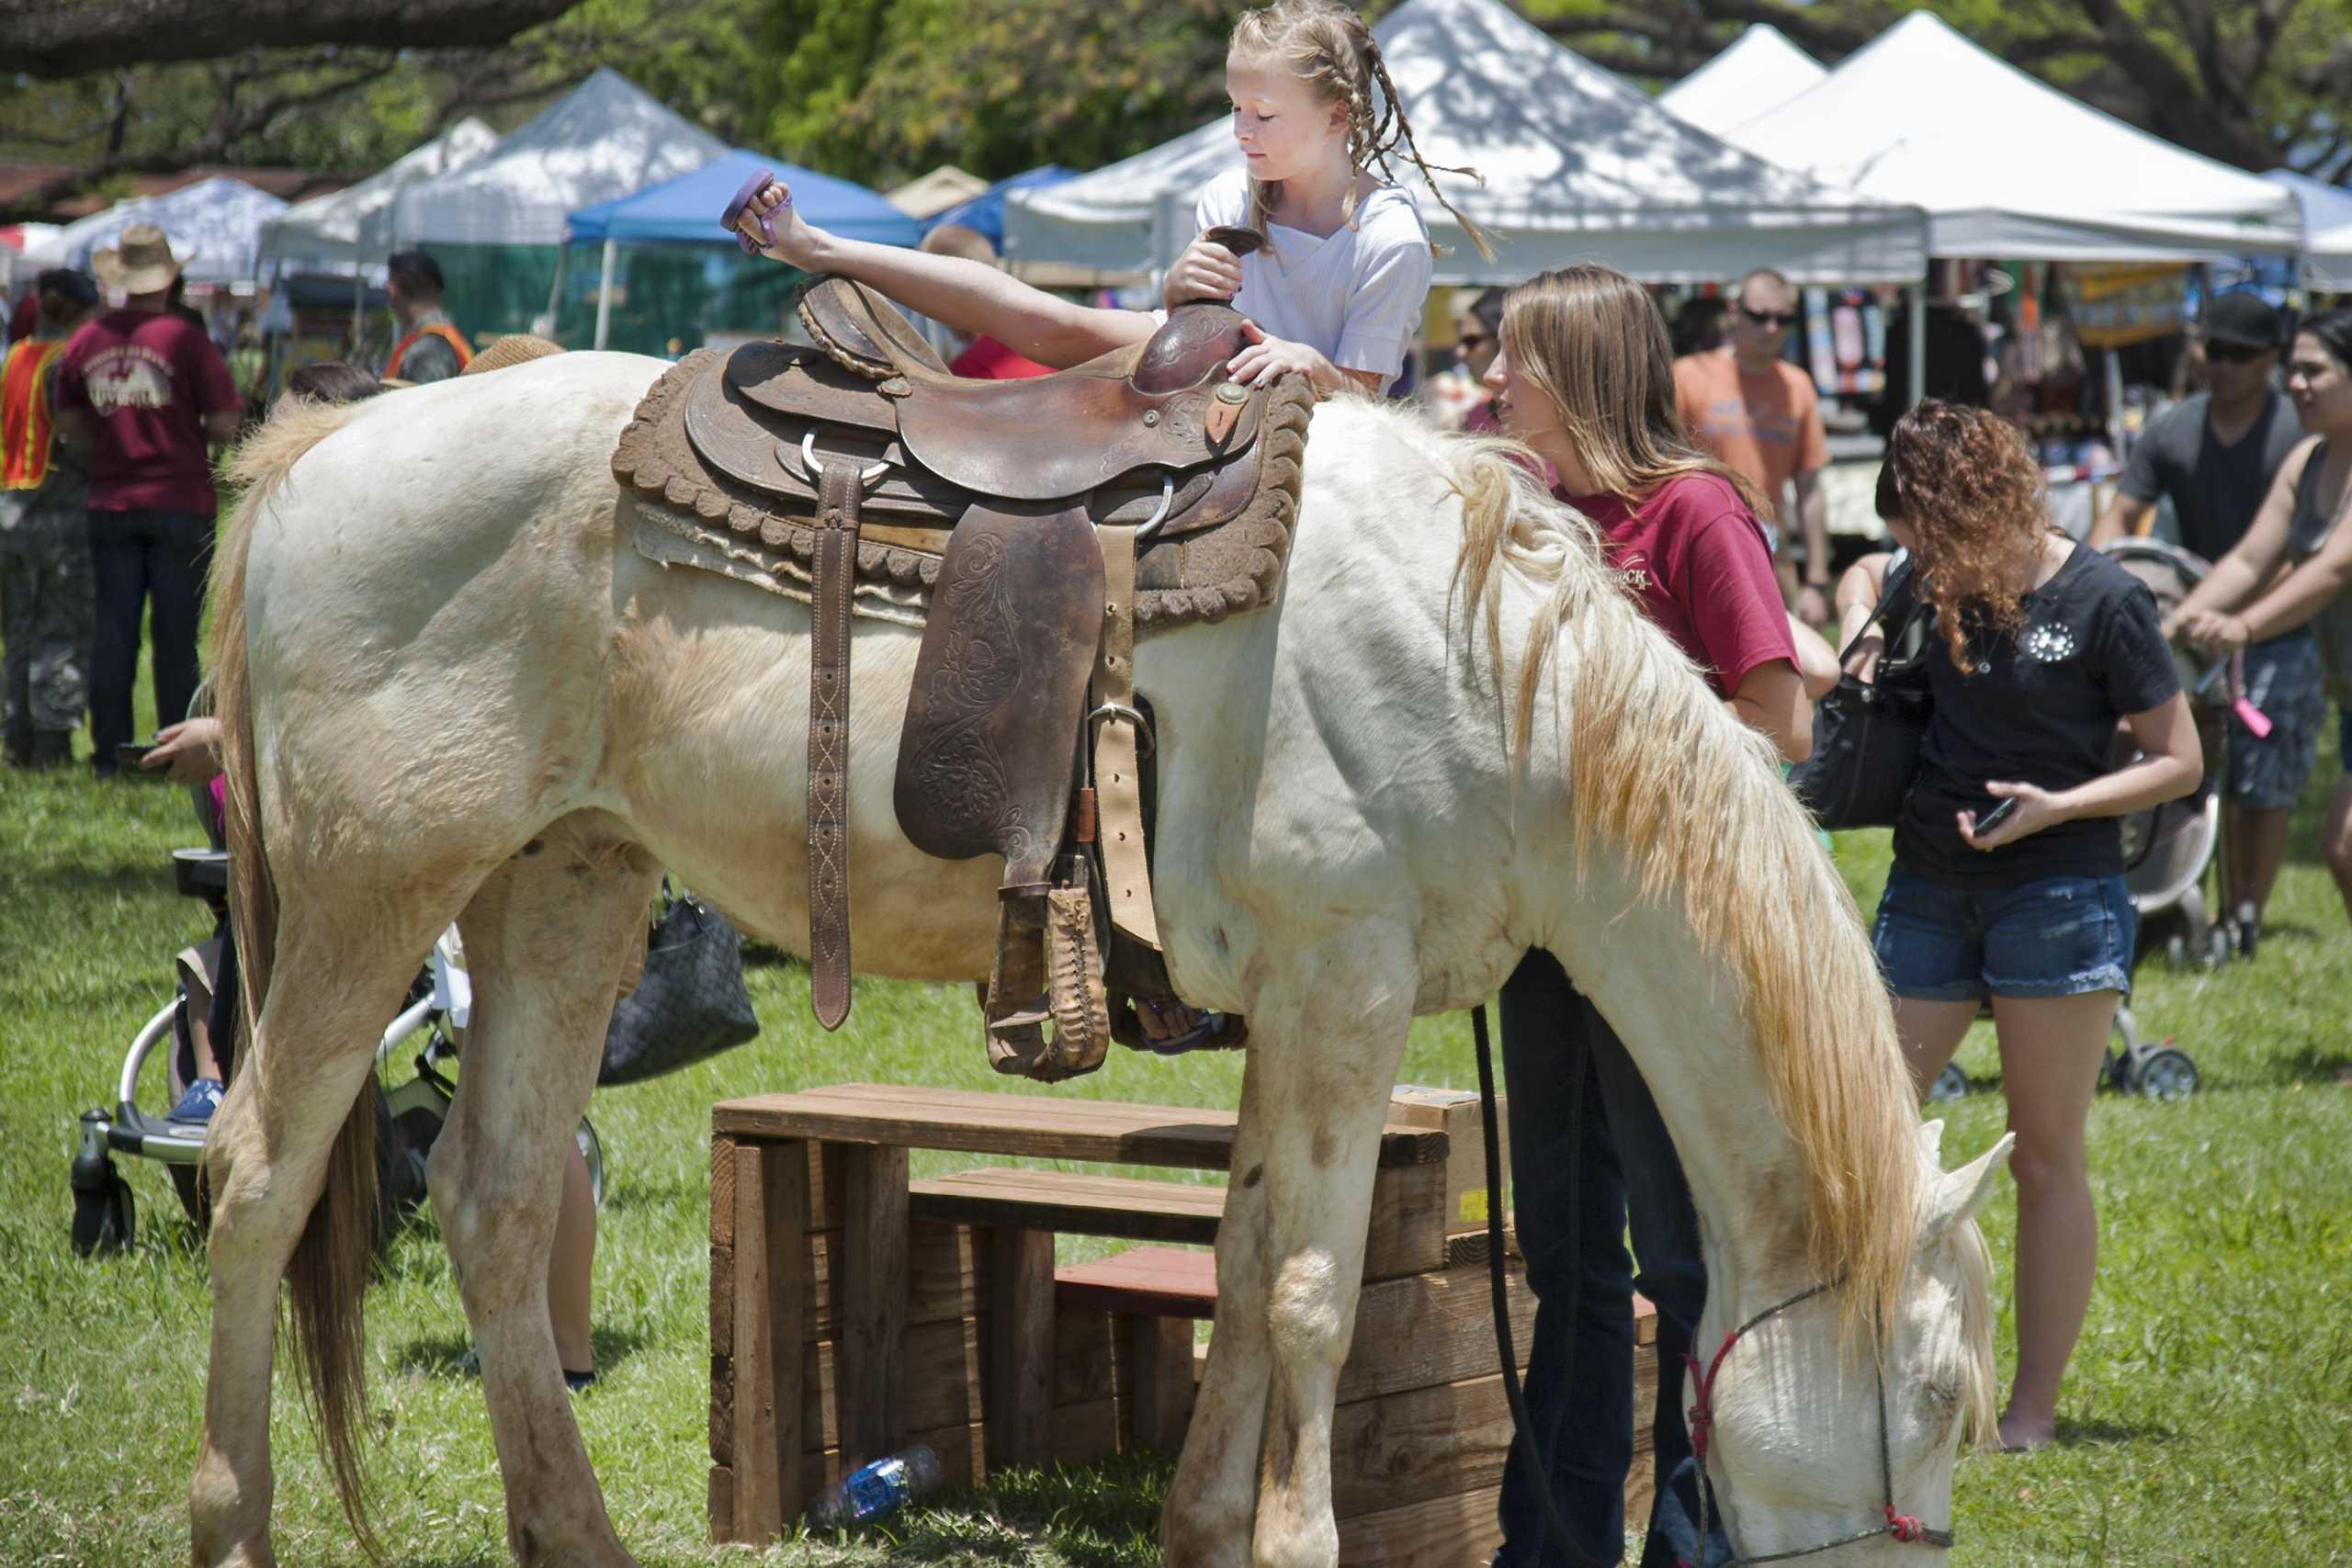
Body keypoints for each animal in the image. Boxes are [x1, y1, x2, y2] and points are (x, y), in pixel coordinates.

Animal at [191, 349, 2009, 1568]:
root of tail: (326, 442)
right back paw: (233, 1513)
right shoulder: (1344, 991)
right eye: (1932, 1393)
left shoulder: (1299, 1005)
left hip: (563, 882)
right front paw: (1293, 1537)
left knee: (494, 1200)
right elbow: (1314, 1295)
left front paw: (1206, 1525)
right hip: (371, 895)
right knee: (259, 1177)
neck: (1496, 673)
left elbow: (1247, 1258)